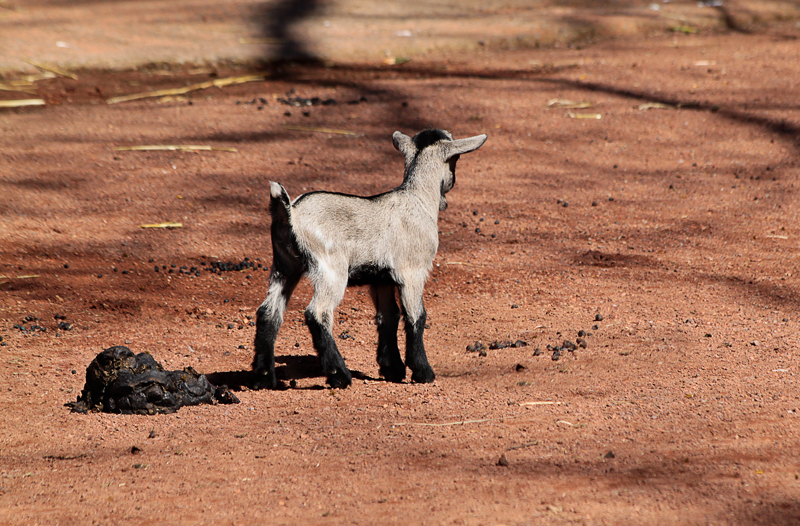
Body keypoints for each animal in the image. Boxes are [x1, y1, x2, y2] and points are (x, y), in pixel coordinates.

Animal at [253, 129, 488, 390]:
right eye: (455, 160)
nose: (449, 186)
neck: (417, 198)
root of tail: (291, 213)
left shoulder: (382, 279)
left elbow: (388, 316)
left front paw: (392, 369)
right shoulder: (413, 271)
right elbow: (416, 315)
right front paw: (422, 372)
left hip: (284, 266)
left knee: (268, 312)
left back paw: (264, 377)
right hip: (329, 267)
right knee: (317, 313)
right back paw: (339, 375)